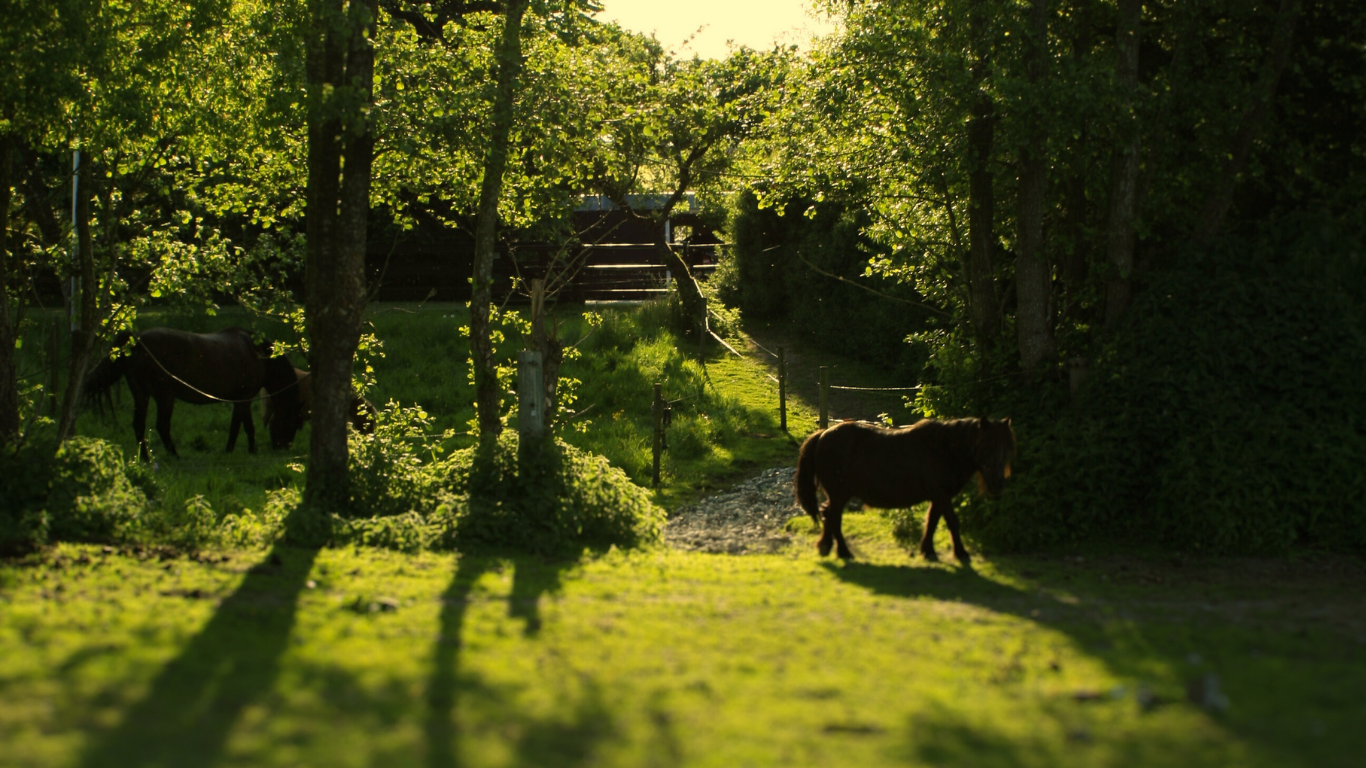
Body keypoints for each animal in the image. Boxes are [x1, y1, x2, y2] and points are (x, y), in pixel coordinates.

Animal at [86, 325, 301, 456]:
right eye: (290, 423)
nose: (283, 447)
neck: (257, 354)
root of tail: (137, 341)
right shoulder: (245, 398)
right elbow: (245, 427)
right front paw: (247, 450)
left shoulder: (238, 400)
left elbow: (238, 425)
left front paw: (235, 450)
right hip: (165, 396)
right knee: (162, 426)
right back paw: (174, 456)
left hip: (141, 395)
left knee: (138, 425)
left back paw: (145, 459)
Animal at [792, 415, 1016, 560]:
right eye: (987, 445)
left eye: (1006, 447)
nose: (998, 484)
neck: (943, 450)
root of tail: (823, 434)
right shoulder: (941, 496)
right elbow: (952, 522)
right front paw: (961, 553)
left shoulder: (938, 497)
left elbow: (932, 522)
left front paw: (928, 551)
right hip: (839, 495)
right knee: (834, 518)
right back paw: (843, 552)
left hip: (837, 496)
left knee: (828, 514)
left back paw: (827, 546)